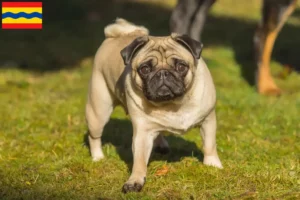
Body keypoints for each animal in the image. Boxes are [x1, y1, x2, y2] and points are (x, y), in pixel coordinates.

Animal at [85, 19, 221, 194]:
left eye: (181, 66)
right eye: (145, 69)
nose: (162, 73)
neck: (173, 104)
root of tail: (117, 34)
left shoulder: (208, 120)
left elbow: (209, 145)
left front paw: (212, 165)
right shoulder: (142, 134)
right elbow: (139, 161)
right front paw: (135, 181)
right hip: (99, 111)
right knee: (94, 136)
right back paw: (97, 157)